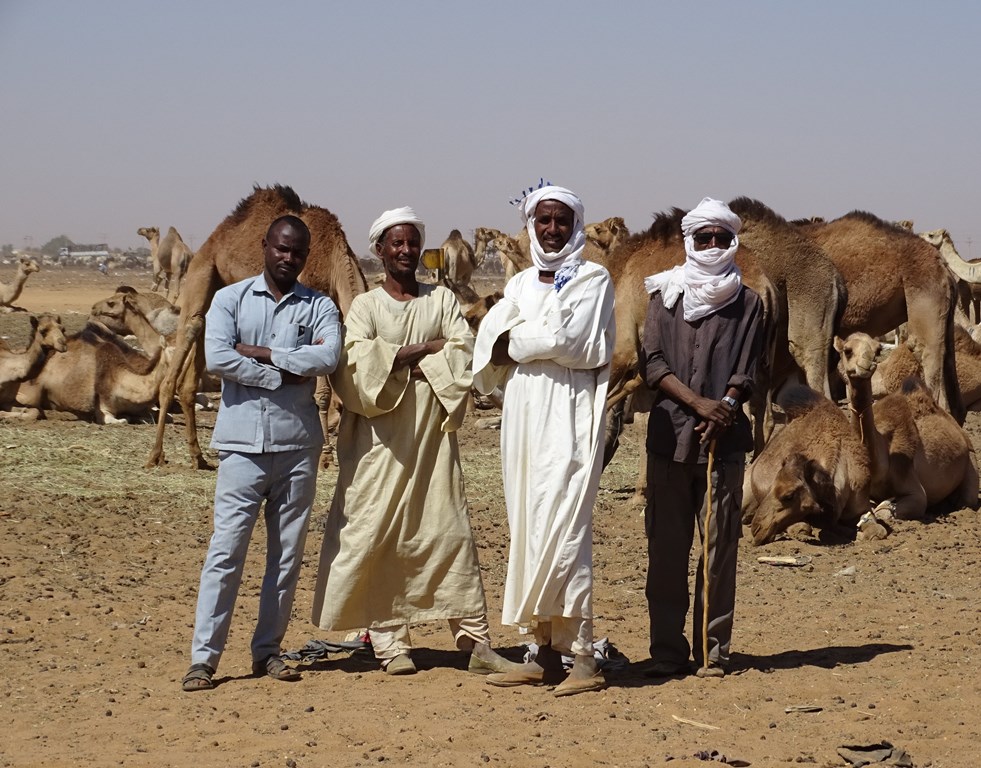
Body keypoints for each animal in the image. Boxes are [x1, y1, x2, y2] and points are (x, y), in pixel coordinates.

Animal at [147, 188, 370, 474]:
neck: (334, 260)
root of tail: (214, 238)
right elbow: (321, 394)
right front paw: (325, 457)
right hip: (201, 272)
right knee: (190, 330)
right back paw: (155, 454)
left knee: (195, 362)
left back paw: (197, 456)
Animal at [836, 332, 980, 520]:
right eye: (847, 350)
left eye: (877, 350)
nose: (866, 365)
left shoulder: (912, 485)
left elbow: (888, 510)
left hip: (971, 458)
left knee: (968, 498)